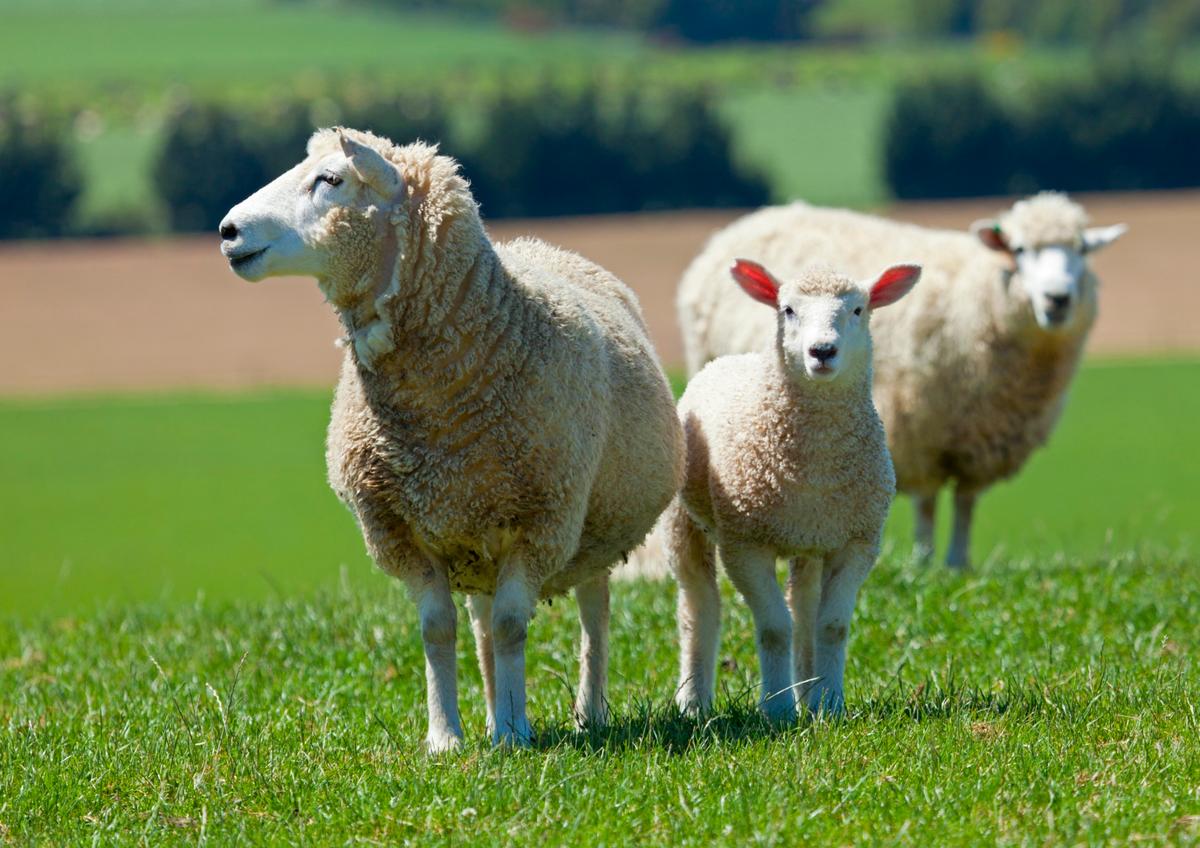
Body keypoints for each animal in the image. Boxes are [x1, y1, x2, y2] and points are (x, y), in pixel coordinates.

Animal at [218, 127, 684, 750]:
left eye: (330, 180)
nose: (228, 230)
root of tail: (540, 244)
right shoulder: (398, 531)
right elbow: (438, 629)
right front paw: (446, 738)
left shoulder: (542, 521)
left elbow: (513, 626)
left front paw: (515, 734)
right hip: (477, 530)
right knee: (483, 625)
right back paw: (490, 714)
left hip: (590, 527)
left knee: (593, 615)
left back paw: (586, 712)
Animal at [671, 258, 920, 718]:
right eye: (787, 310)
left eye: (858, 309)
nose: (822, 351)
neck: (816, 463)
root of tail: (731, 359)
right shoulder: (744, 544)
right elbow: (773, 627)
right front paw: (778, 709)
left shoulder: (857, 541)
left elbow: (831, 626)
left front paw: (831, 704)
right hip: (684, 521)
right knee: (698, 605)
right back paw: (694, 702)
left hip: (809, 539)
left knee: (803, 607)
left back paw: (810, 694)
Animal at [676, 193, 1127, 568]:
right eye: (1019, 250)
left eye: (1082, 250)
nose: (1058, 299)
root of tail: (763, 215)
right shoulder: (918, 425)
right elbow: (926, 502)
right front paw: (925, 563)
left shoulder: (980, 437)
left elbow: (965, 502)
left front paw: (959, 563)